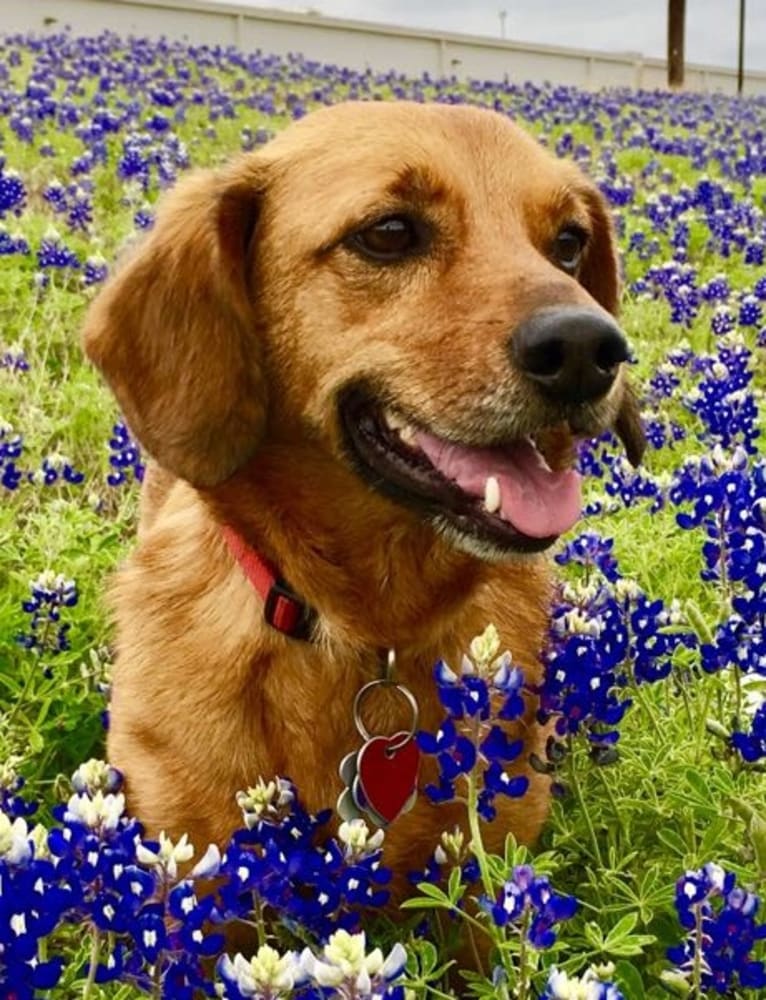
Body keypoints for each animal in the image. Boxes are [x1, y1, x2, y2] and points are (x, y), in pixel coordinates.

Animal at [82, 101, 648, 900]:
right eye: (388, 233)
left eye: (569, 243)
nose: (587, 349)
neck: (367, 627)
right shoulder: (189, 868)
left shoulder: (479, 871)